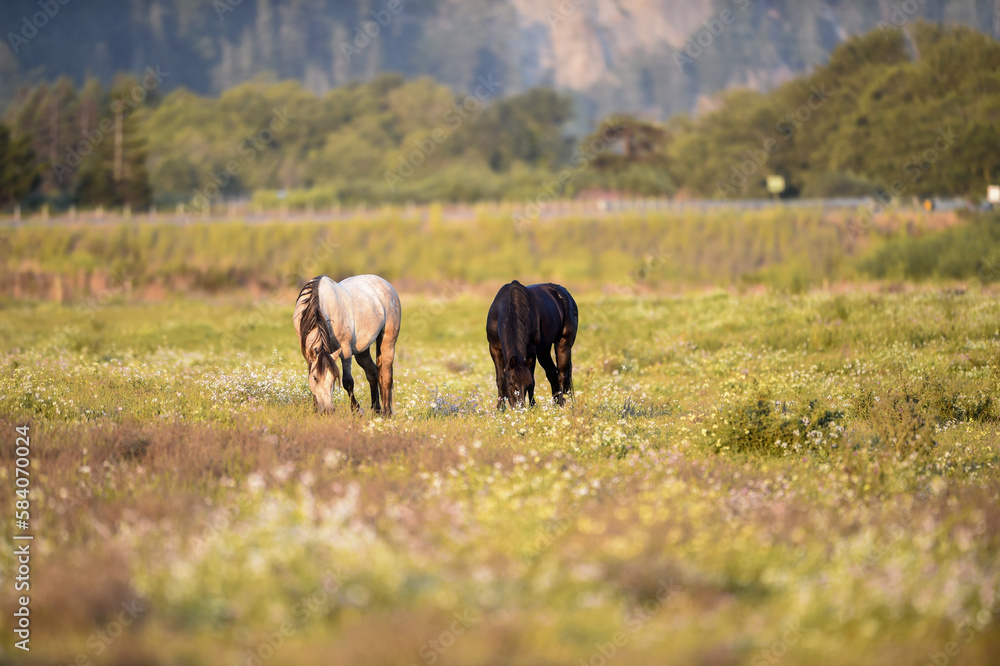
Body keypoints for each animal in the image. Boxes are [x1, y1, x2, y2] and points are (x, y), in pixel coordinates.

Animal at [293, 274, 401, 416]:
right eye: (315, 378)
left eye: (334, 378)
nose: (328, 410)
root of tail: (385, 283)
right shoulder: (308, 353)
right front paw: (316, 409)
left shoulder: (345, 350)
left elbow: (348, 381)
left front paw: (357, 410)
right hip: (362, 350)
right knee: (372, 372)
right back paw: (376, 410)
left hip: (388, 342)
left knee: (386, 375)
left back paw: (387, 413)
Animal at [486, 280, 578, 408]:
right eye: (511, 383)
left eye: (526, 385)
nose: (519, 407)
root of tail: (565, 294)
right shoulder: (494, 348)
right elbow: (500, 378)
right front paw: (500, 408)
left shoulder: (531, 350)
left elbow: (533, 379)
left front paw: (532, 406)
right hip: (544, 350)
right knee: (552, 372)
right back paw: (555, 405)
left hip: (564, 344)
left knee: (561, 375)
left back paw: (560, 405)